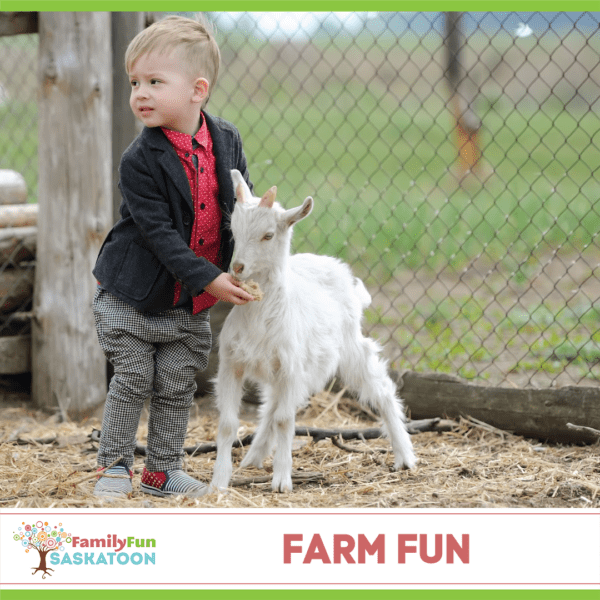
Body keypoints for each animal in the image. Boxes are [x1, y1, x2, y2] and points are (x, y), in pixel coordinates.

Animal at [209, 170, 414, 492]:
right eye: (233, 229)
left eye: (268, 235)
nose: (237, 268)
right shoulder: (233, 363)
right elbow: (229, 422)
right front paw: (218, 483)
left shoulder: (291, 367)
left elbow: (285, 420)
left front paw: (282, 481)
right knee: (271, 406)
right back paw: (253, 457)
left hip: (347, 346)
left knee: (381, 389)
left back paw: (405, 456)